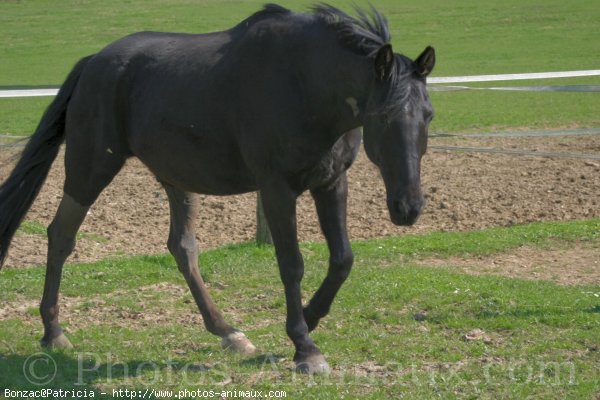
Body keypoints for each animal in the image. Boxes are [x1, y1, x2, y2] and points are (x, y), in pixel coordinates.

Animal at [0, 3, 432, 374]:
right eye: (383, 116)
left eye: (427, 114)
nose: (408, 207)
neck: (304, 84)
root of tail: (93, 62)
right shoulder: (276, 189)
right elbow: (291, 264)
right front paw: (304, 346)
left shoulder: (331, 182)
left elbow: (342, 259)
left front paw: (308, 318)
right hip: (90, 168)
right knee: (61, 235)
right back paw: (54, 332)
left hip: (176, 178)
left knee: (182, 248)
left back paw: (228, 332)